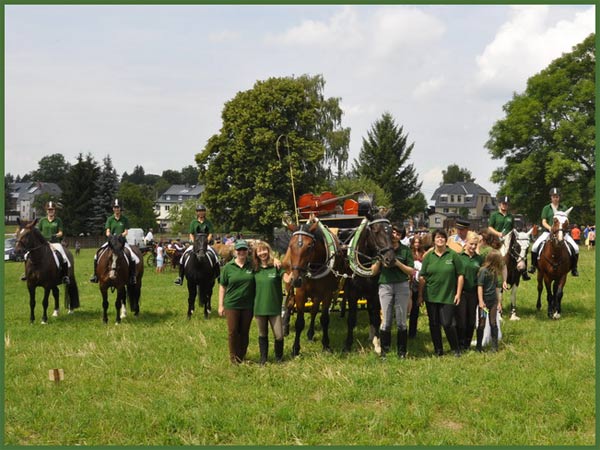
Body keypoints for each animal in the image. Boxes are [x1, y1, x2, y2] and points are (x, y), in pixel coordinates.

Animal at [282, 216, 344, 356]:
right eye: (290, 245)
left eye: (310, 246)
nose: (296, 279)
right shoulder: (301, 292)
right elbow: (299, 322)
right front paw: (295, 348)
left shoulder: (327, 292)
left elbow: (324, 318)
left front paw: (326, 344)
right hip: (289, 283)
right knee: (289, 303)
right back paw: (285, 328)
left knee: (314, 310)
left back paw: (310, 333)